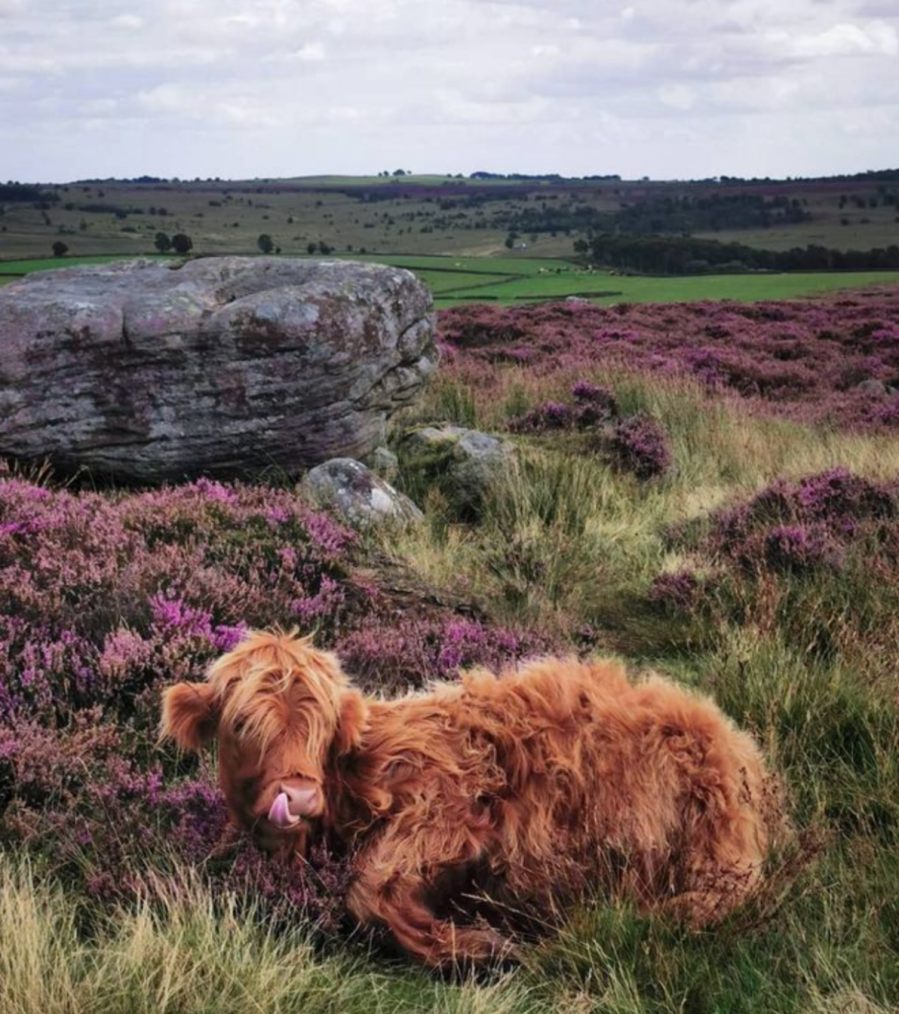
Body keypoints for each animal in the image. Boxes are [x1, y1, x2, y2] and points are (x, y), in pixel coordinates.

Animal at [160, 628, 774, 969]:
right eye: (242, 723)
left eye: (325, 729)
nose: (300, 795)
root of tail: (729, 739)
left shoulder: (446, 815)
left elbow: (365, 888)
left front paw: (483, 947)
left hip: (714, 861)